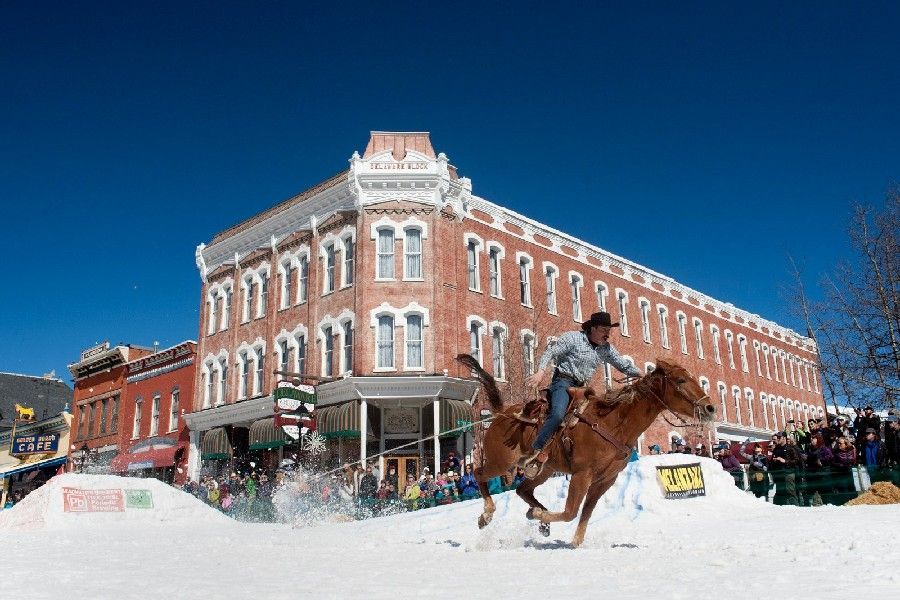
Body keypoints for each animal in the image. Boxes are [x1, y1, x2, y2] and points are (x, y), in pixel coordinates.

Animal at [458, 356, 716, 548]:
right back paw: (488, 515)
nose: (710, 408)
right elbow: (571, 512)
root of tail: (502, 414)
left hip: (544, 469)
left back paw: (539, 518)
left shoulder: (605, 480)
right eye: (680, 380)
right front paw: (541, 517)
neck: (614, 422)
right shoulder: (582, 474)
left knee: (523, 489)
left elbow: (585, 513)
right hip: (501, 462)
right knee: (479, 473)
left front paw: (573, 540)